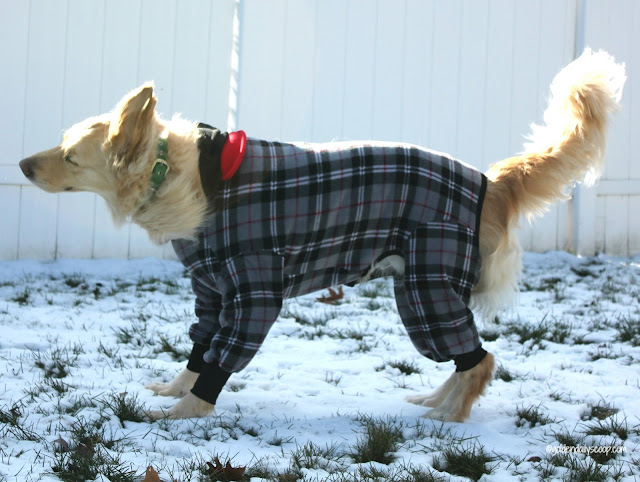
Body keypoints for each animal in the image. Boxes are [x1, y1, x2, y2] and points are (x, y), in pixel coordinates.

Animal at [18, 47, 624, 420]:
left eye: (70, 158)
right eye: (61, 145)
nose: (21, 165)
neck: (179, 174)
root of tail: (490, 182)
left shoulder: (254, 293)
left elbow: (220, 358)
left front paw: (183, 412)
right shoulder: (210, 291)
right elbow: (199, 347)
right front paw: (174, 389)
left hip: (427, 288)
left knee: (480, 359)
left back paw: (451, 416)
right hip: (423, 290)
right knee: (467, 359)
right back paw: (434, 401)